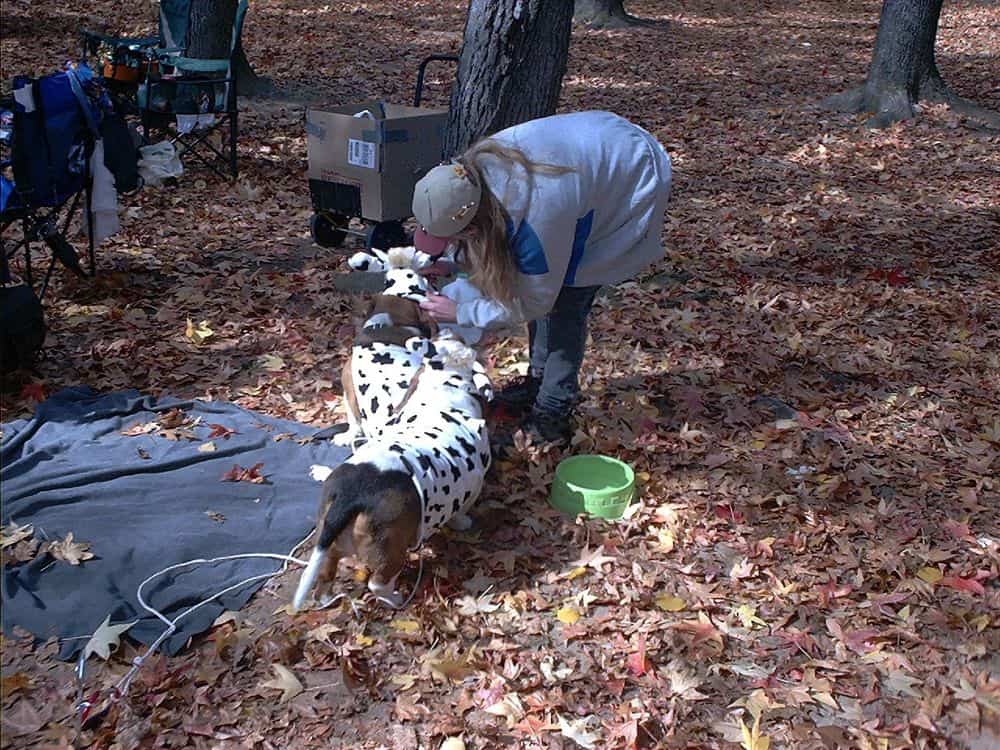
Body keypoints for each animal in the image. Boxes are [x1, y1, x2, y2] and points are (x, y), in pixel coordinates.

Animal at [294, 334, 494, 612]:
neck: (442, 389)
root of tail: (350, 495)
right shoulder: (473, 485)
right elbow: (461, 511)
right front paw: (463, 523)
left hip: (330, 541)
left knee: (325, 572)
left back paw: (326, 598)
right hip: (391, 549)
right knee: (377, 583)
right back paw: (394, 599)